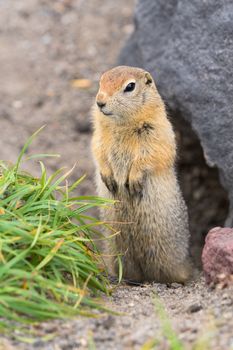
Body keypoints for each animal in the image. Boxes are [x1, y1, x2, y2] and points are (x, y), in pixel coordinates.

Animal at [92, 66, 192, 284]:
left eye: (130, 86)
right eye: (100, 80)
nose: (100, 102)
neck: (121, 124)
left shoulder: (157, 130)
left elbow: (151, 154)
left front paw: (134, 180)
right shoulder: (99, 135)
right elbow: (98, 151)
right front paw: (108, 177)